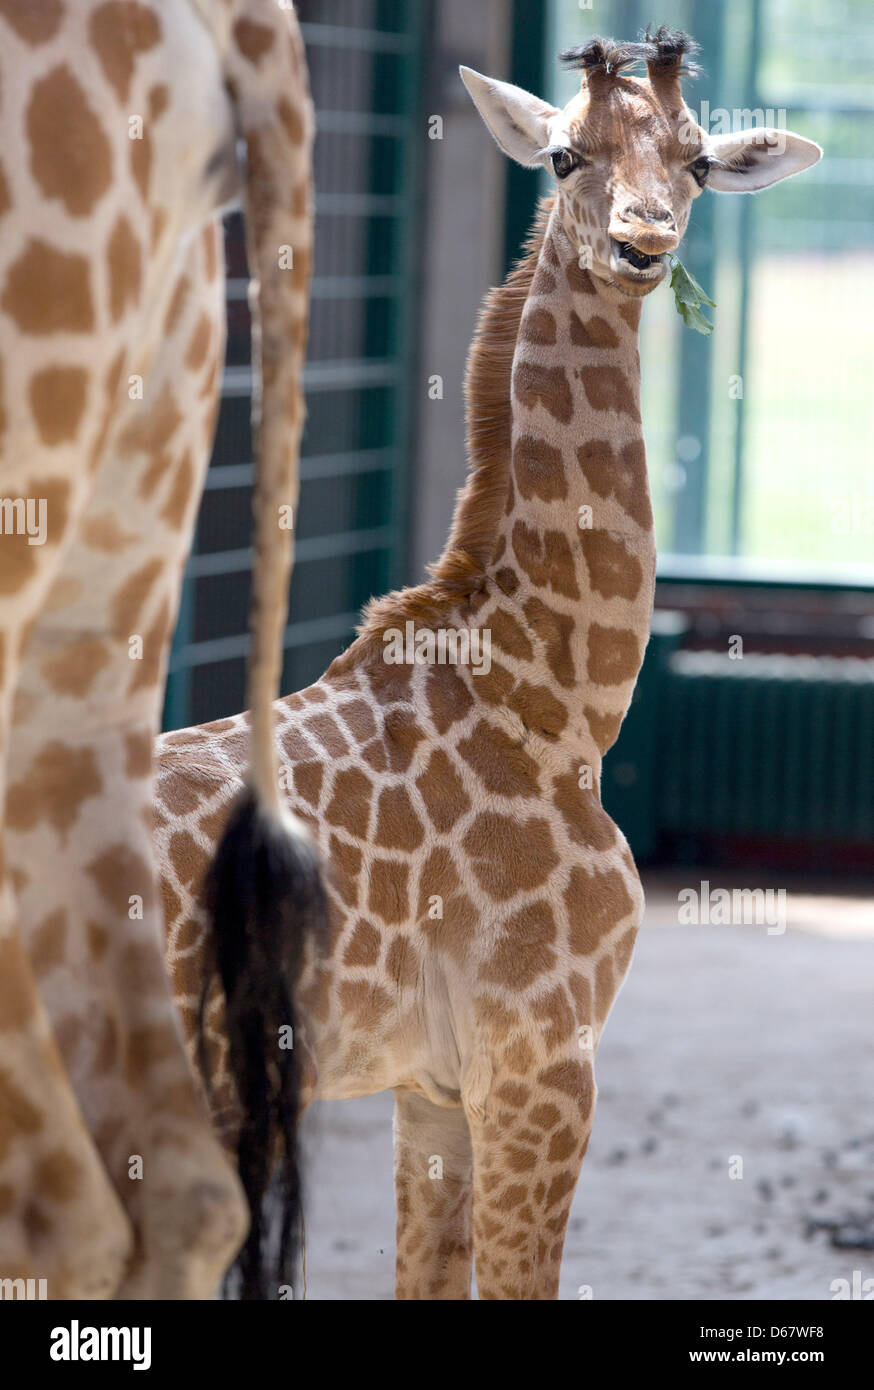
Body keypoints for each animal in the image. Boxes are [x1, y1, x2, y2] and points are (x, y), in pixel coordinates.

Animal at [154, 27, 817, 1295]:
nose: (640, 243)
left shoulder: (431, 1087)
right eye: (563, 156)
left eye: (699, 161)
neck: (550, 695)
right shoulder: (542, 1056)